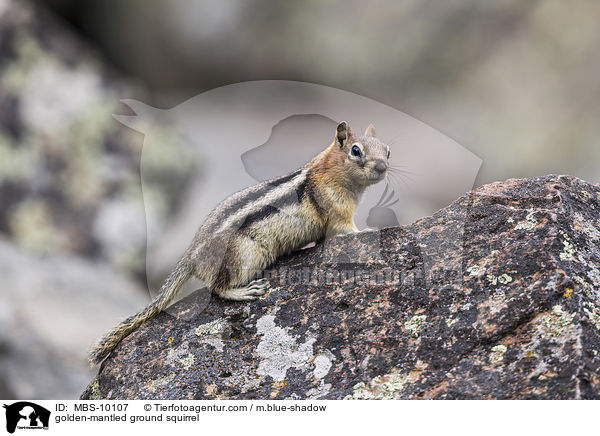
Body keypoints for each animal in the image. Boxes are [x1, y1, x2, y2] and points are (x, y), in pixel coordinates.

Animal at [88, 120, 390, 364]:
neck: (329, 172)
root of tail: (190, 256)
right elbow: (345, 230)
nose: (383, 166)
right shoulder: (336, 210)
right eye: (355, 151)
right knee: (217, 288)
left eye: (387, 150)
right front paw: (368, 230)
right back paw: (244, 291)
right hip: (243, 255)